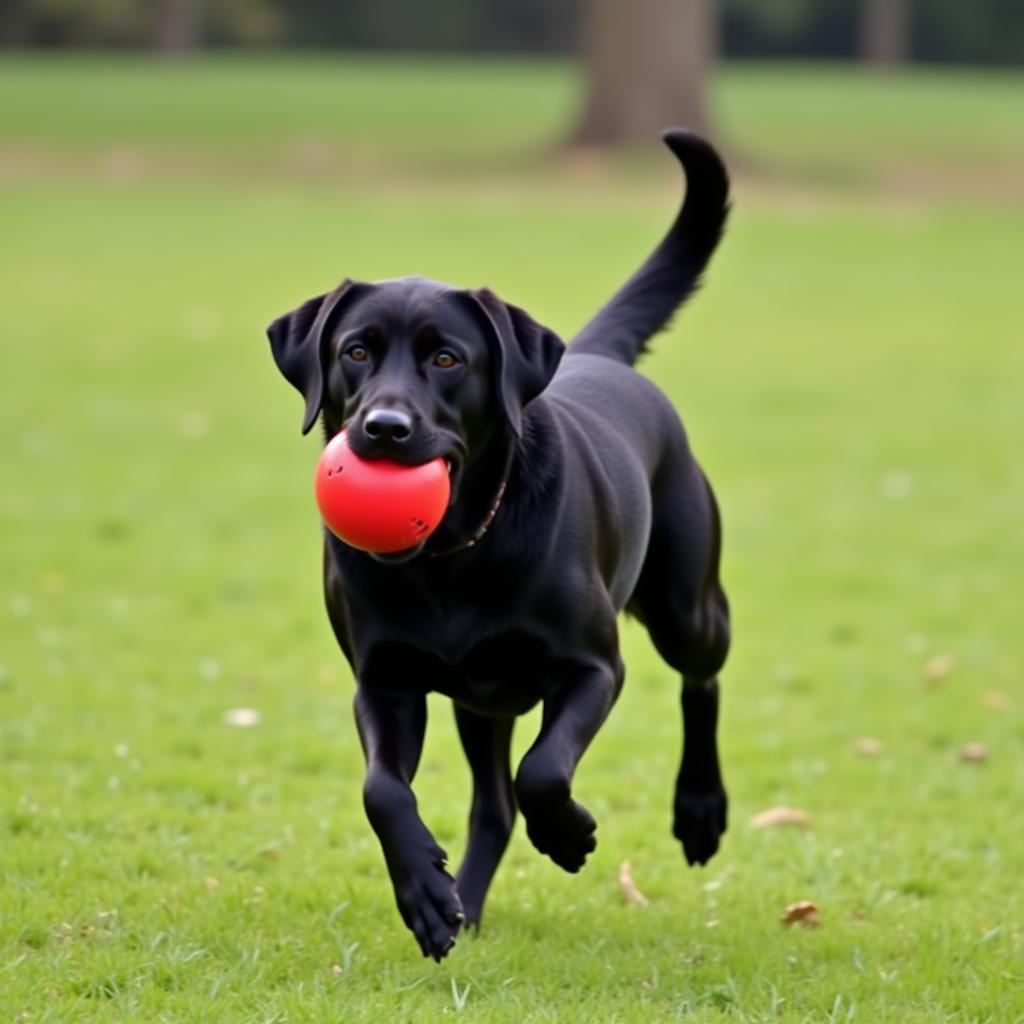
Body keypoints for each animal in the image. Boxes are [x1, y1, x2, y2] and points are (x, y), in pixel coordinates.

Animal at [264, 128, 729, 958]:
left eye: (447, 358)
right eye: (356, 351)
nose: (384, 428)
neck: (453, 557)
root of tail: (597, 357)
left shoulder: (591, 668)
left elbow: (543, 771)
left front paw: (570, 835)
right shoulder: (385, 680)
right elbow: (383, 790)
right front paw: (426, 895)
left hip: (686, 606)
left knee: (700, 677)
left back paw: (699, 809)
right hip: (480, 702)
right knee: (493, 803)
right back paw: (463, 907)